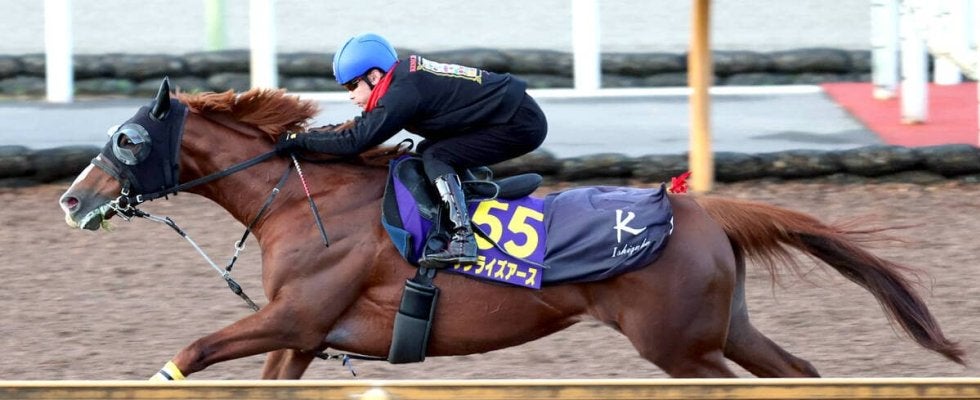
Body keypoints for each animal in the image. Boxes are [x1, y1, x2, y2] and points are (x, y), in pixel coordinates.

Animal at [58, 79, 965, 379]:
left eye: (125, 138)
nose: (71, 199)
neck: (298, 198)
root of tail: (702, 207)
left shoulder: (295, 315)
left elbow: (193, 348)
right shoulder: (305, 334)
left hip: (679, 345)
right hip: (718, 329)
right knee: (799, 370)